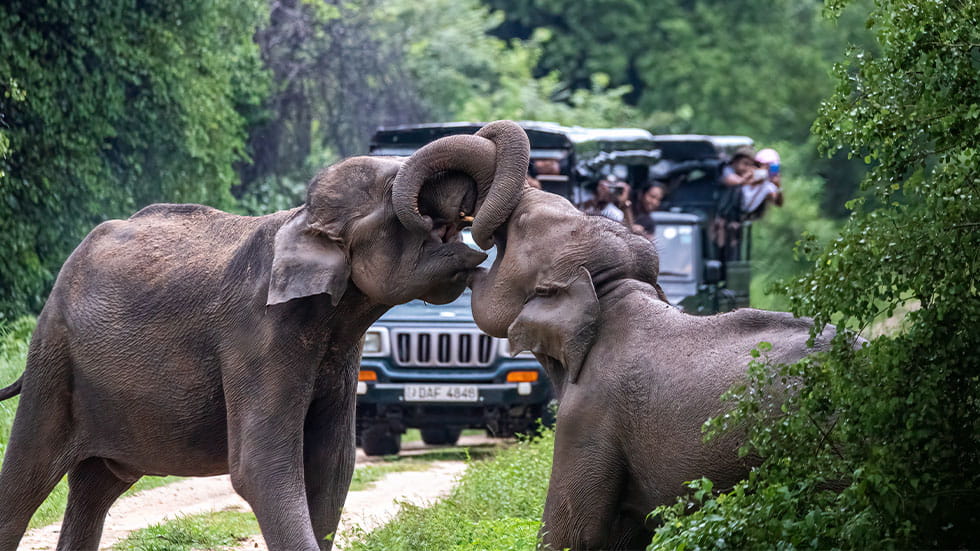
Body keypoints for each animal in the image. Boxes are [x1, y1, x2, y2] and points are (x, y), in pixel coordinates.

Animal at [0, 121, 528, 551]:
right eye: (391, 191)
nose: (481, 230)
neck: (302, 221)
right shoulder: (257, 334)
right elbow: (262, 468)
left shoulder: (342, 349)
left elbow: (333, 467)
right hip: (54, 359)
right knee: (26, 478)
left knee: (96, 486)